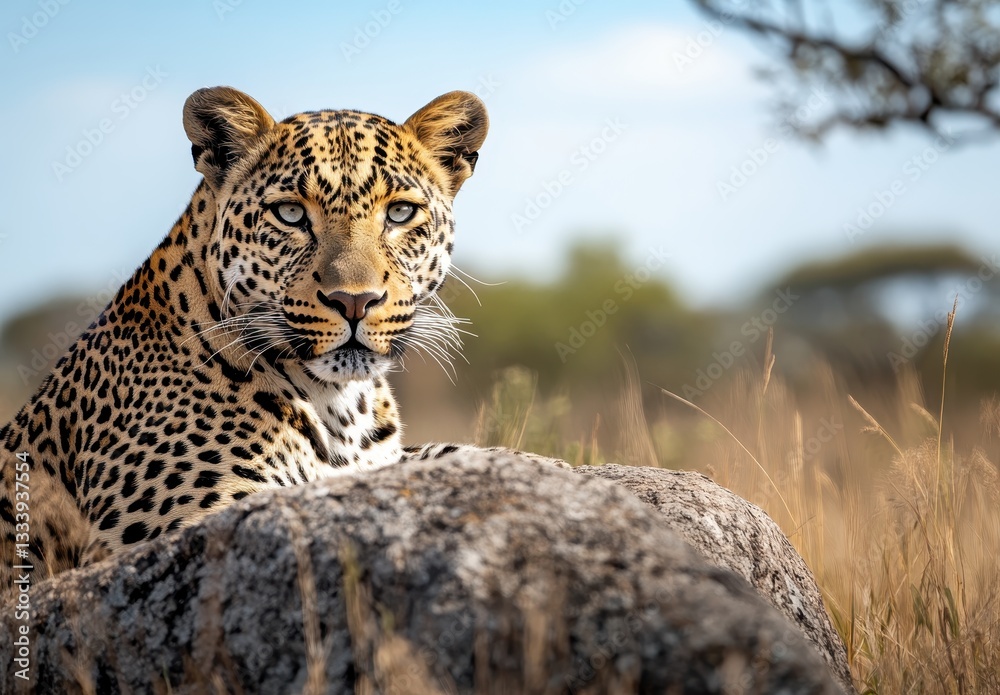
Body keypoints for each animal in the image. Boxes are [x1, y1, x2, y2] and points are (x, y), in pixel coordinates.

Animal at [0, 87, 562, 595]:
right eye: (290, 214)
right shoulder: (170, 528)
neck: (340, 407)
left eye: (400, 213)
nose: (354, 301)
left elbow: (454, 451)